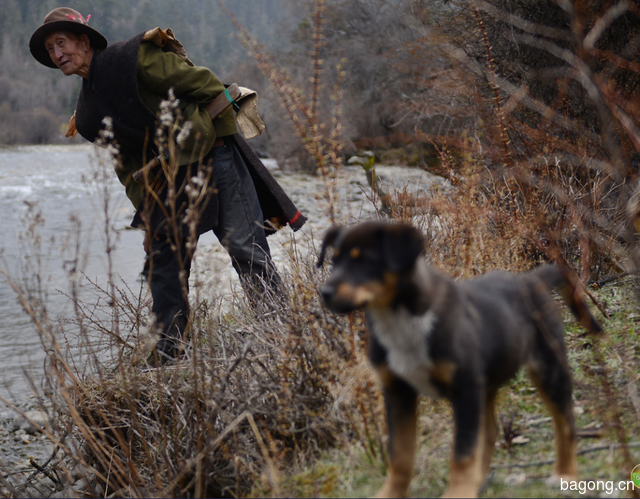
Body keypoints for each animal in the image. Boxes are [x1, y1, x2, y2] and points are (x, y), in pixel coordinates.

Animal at [318, 224, 604, 499]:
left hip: (548, 366)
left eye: (365, 260)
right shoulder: (398, 391)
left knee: (565, 421)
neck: (400, 320)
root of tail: (532, 279)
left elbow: (463, 452)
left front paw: (457, 493)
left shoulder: (464, 388)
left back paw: (565, 474)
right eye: (334, 261)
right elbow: (400, 455)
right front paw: (390, 494)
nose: (325, 292)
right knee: (490, 430)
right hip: (486, 384)